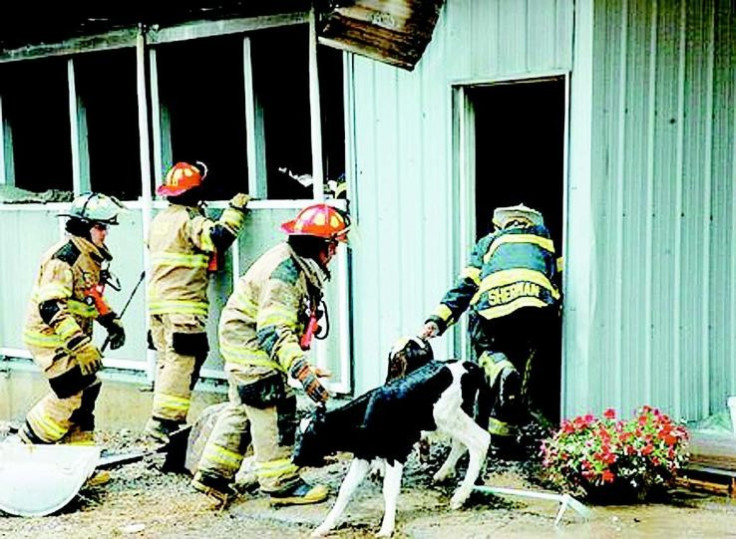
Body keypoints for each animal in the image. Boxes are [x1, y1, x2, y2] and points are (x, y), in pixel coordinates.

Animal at [292, 340, 488, 536]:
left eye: (311, 436)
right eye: (297, 436)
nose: (294, 458)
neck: (366, 415)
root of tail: (469, 365)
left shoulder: (396, 451)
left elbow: (389, 490)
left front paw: (386, 528)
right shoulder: (364, 453)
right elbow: (346, 488)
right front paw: (324, 527)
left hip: (446, 415)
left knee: (481, 440)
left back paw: (460, 495)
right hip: (451, 418)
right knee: (462, 443)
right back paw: (443, 474)